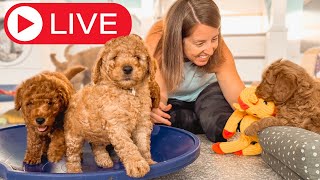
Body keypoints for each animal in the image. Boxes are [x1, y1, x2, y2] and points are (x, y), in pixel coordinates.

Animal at [64, 33, 160, 177]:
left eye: (137, 57)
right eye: (114, 57)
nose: (127, 68)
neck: (128, 91)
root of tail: (74, 94)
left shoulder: (142, 123)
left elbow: (143, 144)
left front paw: (148, 160)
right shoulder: (117, 125)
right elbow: (128, 146)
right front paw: (137, 165)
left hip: (95, 132)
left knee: (96, 145)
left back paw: (104, 160)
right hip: (73, 136)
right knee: (72, 156)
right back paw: (74, 170)